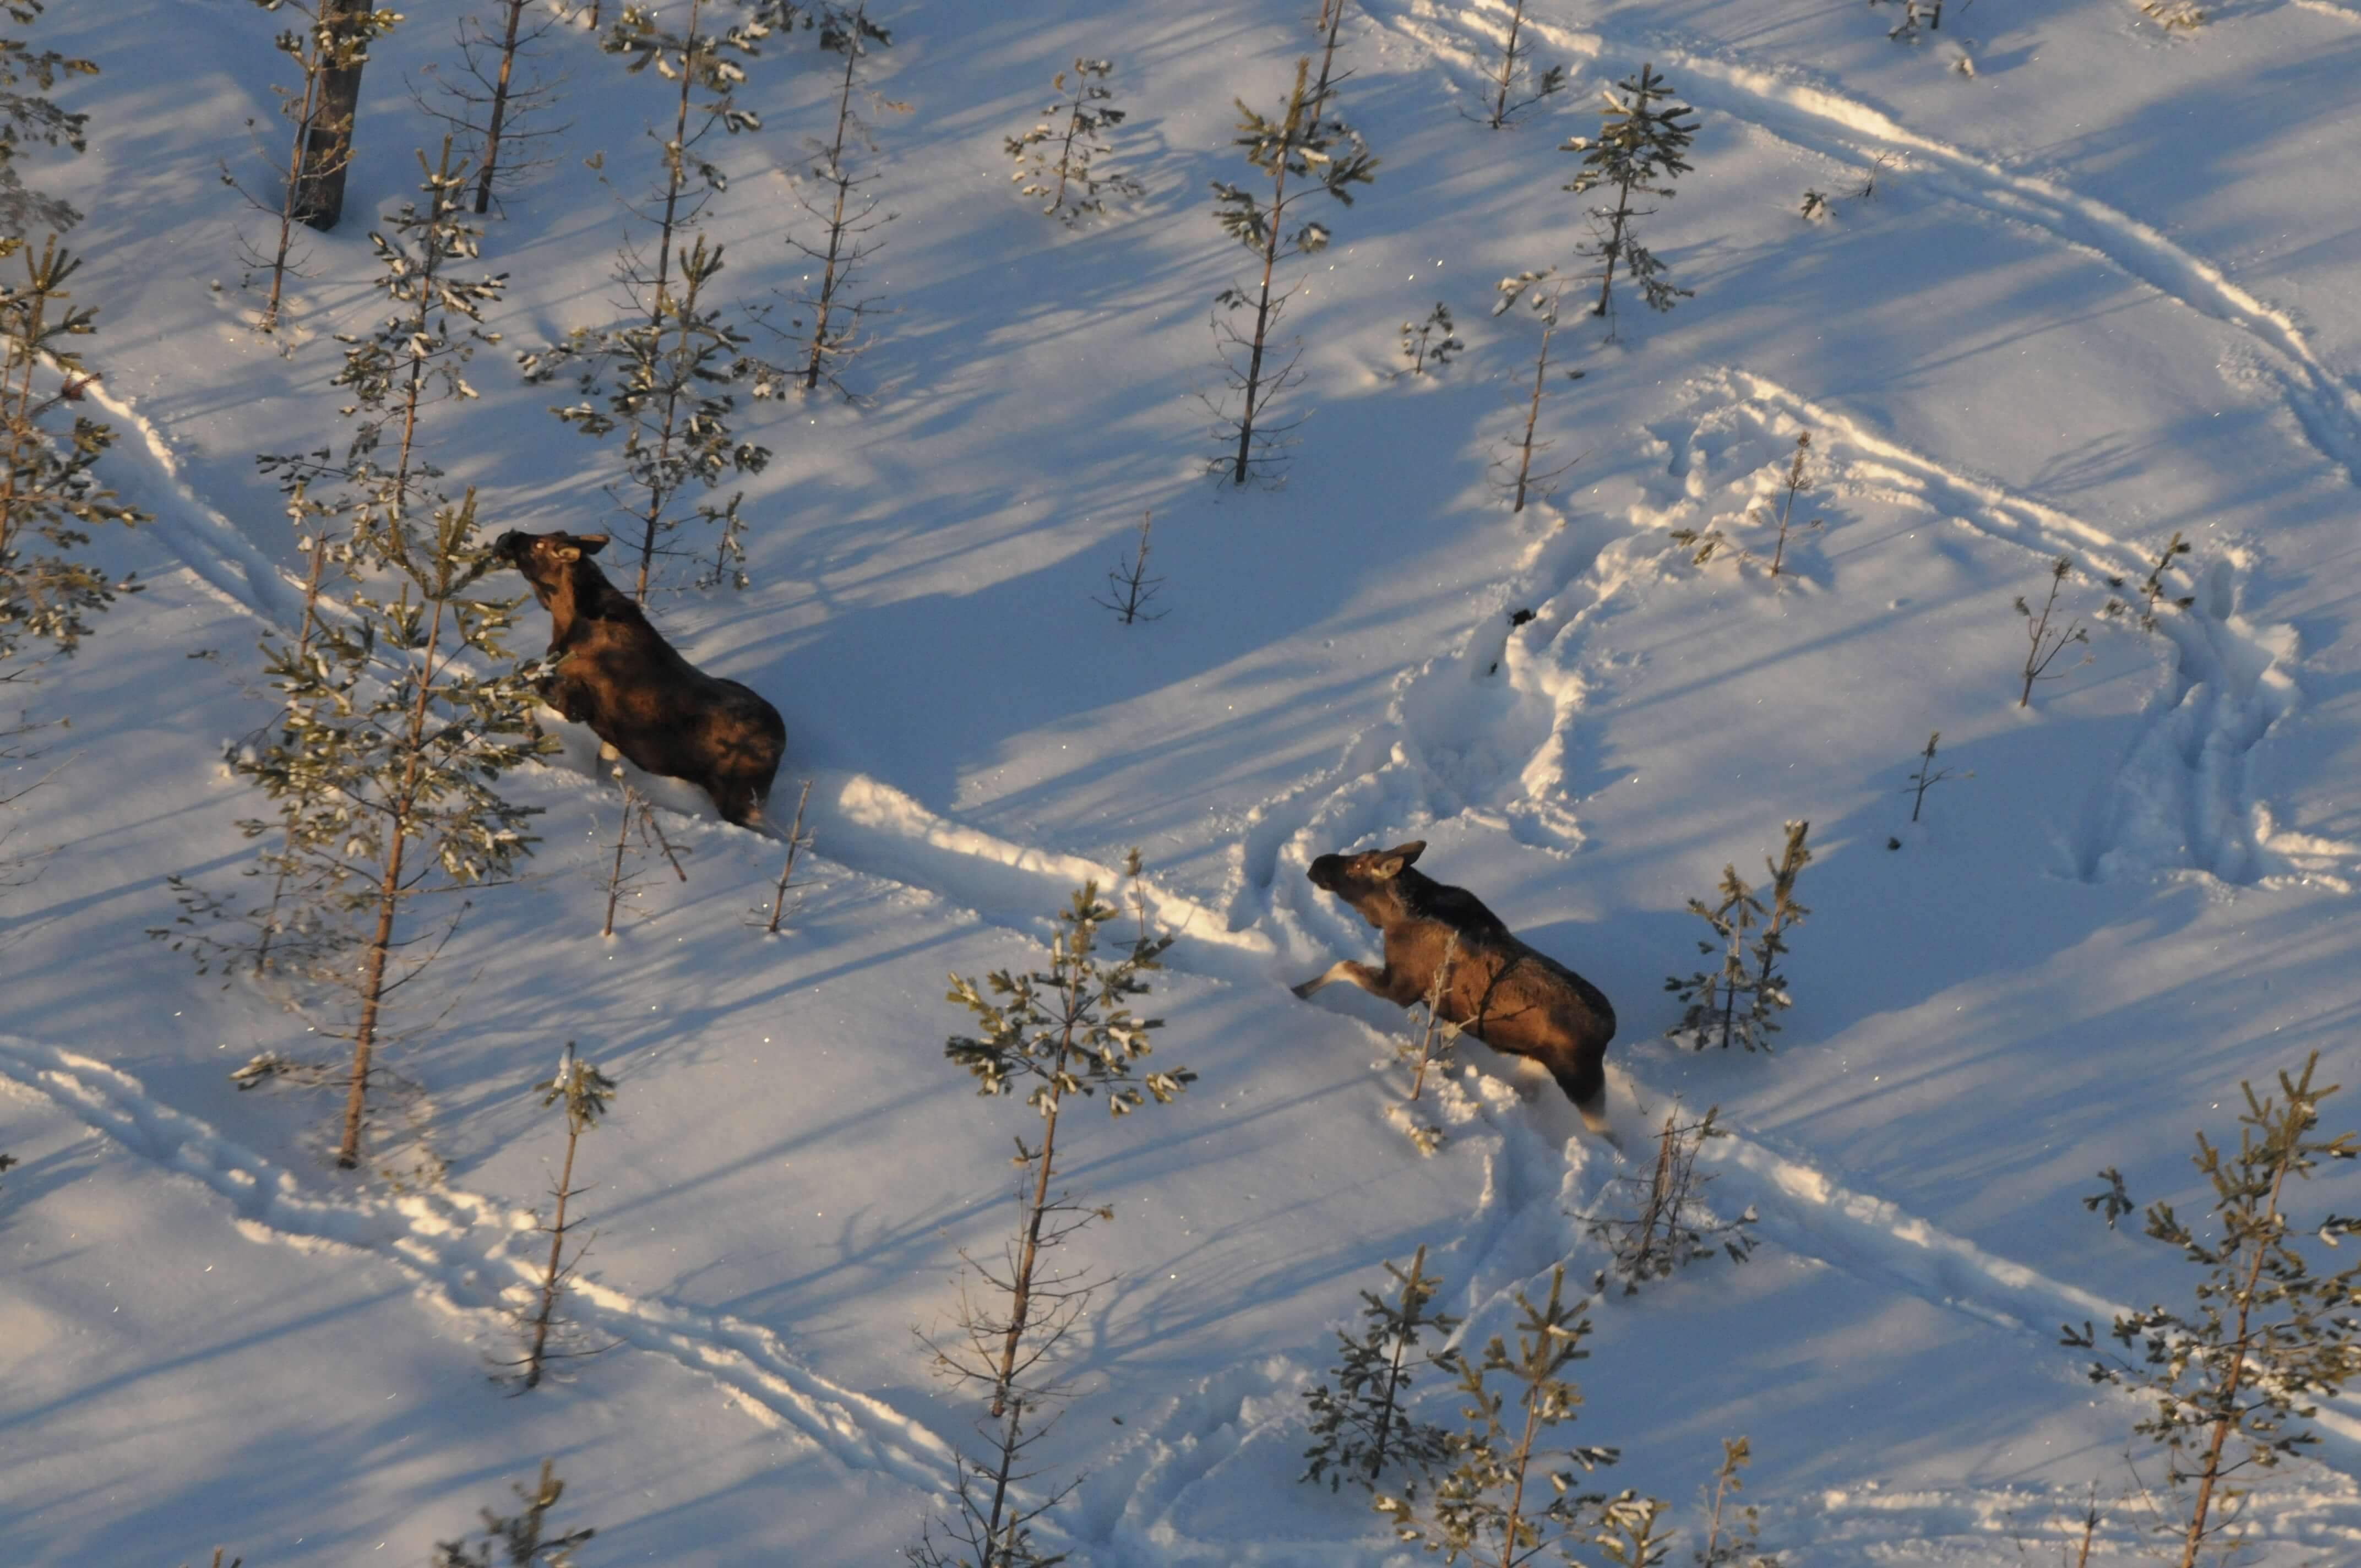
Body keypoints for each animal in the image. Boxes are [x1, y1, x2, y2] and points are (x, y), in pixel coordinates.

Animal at [493, 529, 788, 831]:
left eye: (540, 545)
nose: (508, 535)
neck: (565, 616)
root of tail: (781, 742)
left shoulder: (576, 703)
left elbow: (525, 675)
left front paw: (530, 730)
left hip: (740, 801)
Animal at [1293, 840, 1624, 1133]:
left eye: (1358, 866)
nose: (1316, 864)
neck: (1393, 916)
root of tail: (1609, 1029)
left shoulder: (1401, 988)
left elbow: (1343, 966)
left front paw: (1300, 990)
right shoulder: (1447, 1011)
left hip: (1581, 1083)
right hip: (1535, 1063)